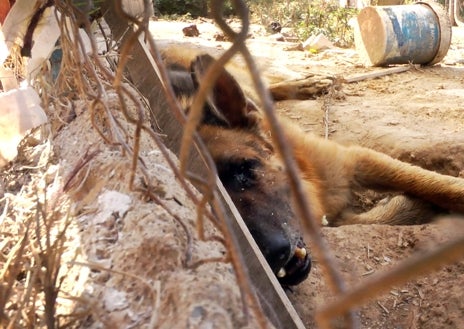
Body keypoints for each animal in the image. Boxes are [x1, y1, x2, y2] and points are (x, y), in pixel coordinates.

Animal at [162, 46, 464, 284]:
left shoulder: (354, 160)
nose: (271, 258)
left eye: (245, 169)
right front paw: (409, 206)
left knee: (263, 86)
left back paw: (308, 83)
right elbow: (371, 216)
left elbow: (432, 183)